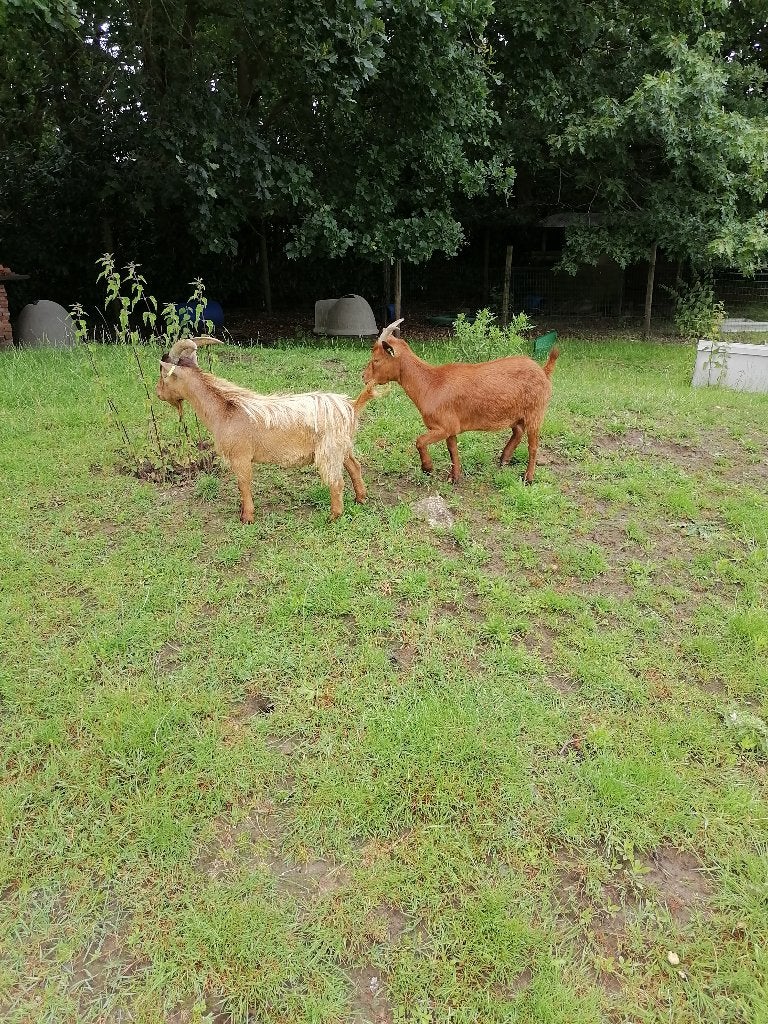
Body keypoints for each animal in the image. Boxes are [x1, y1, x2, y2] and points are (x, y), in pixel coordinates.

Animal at [156, 336, 376, 522]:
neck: (226, 410)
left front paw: (247, 518)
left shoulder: (241, 456)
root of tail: (351, 406)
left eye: (163, 375)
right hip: (342, 446)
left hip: (329, 449)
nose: (158, 393)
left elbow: (243, 484)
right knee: (354, 467)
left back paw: (334, 517)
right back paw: (360, 499)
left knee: (336, 481)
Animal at [362, 319, 559, 484]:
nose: (363, 377)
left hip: (536, 412)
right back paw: (504, 459)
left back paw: (528, 477)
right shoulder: (451, 427)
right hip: (517, 413)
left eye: (376, 360)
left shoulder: (443, 427)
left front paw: (427, 468)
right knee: (518, 430)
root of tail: (544, 371)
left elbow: (420, 441)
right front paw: (454, 477)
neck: (430, 383)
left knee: (533, 446)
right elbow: (453, 449)